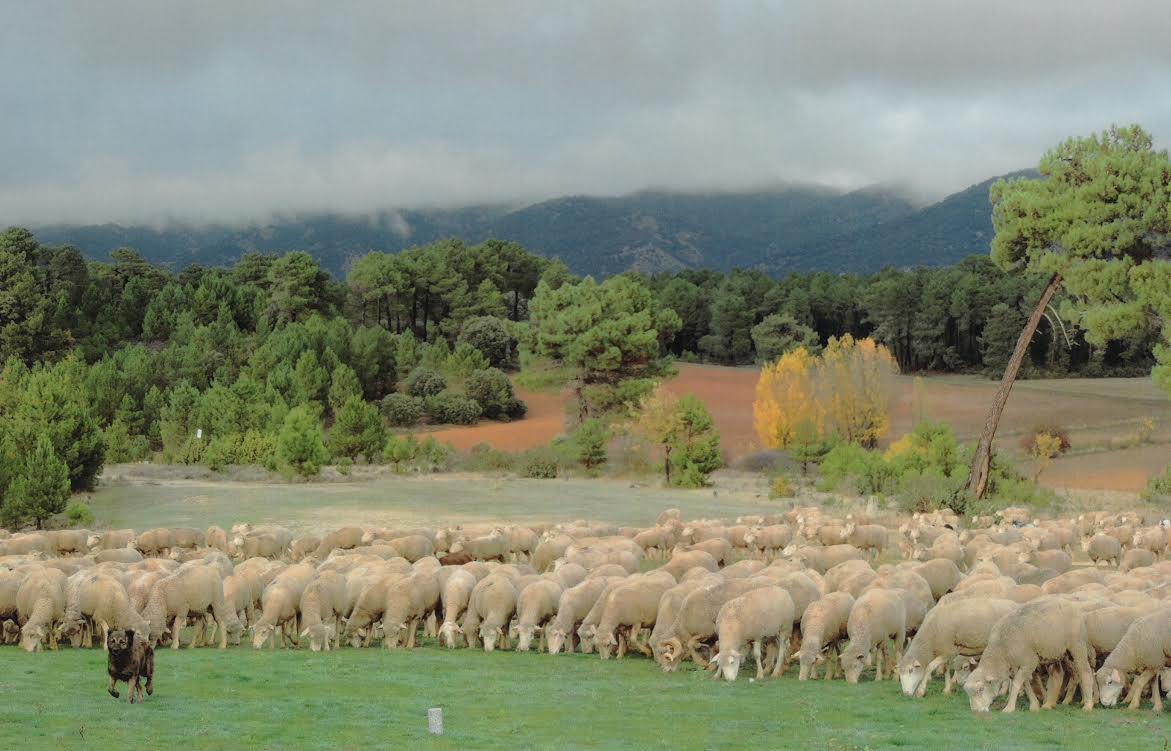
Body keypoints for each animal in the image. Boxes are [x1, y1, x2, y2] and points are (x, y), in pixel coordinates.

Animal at [960, 595, 1096, 712]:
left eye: (981, 689)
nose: (976, 711)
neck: (1001, 650)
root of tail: (1072, 605)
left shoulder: (1030, 661)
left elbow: (1017, 683)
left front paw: (1009, 708)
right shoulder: (1018, 666)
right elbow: (1026, 684)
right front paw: (1034, 705)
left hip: (1077, 646)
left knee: (1085, 671)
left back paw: (1088, 705)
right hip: (1054, 652)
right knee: (1057, 675)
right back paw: (1049, 704)